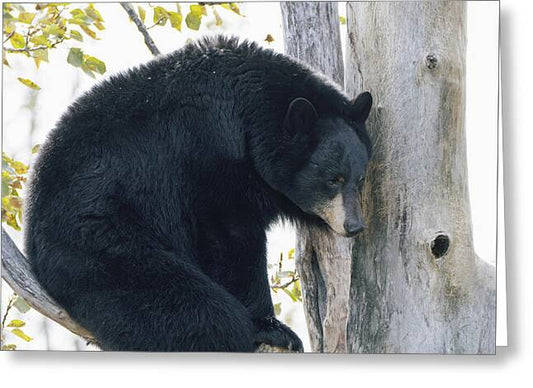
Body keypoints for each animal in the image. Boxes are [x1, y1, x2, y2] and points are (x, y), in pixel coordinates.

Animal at [25, 35, 372, 352]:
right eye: (333, 179)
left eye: (359, 179)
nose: (354, 226)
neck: (249, 117)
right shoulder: (208, 157)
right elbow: (231, 239)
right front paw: (272, 327)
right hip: (99, 244)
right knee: (204, 315)